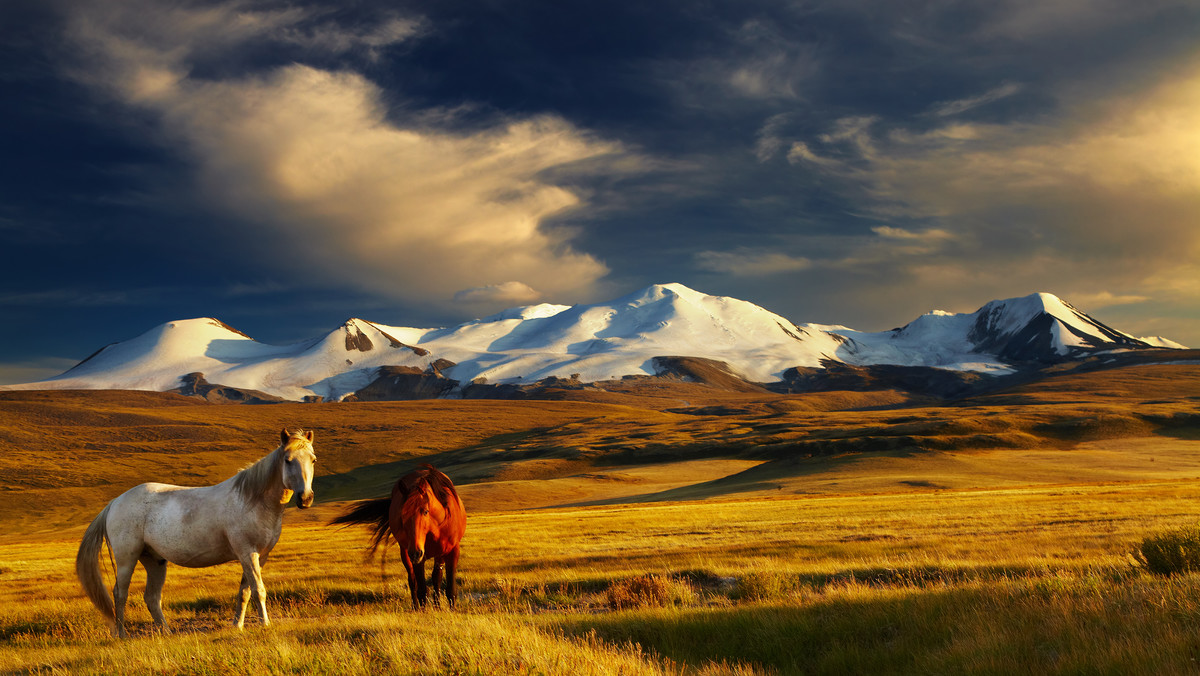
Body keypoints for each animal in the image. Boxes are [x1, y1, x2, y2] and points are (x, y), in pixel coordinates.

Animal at [73, 432, 319, 638]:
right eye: (288, 460)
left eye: (313, 459)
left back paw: (167, 632)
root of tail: (115, 502)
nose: (305, 498)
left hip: (154, 561)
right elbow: (259, 590)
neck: (252, 500)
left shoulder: (259, 556)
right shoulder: (247, 553)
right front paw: (265, 625)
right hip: (127, 559)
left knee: (152, 598)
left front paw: (237, 626)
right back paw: (122, 634)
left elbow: (245, 592)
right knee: (120, 593)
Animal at [331, 465, 465, 607]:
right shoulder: (418, 558)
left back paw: (437, 606)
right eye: (402, 515)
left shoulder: (452, 551)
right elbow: (422, 592)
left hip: (437, 554)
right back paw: (417, 607)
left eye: (425, 511)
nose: (416, 553)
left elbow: (451, 590)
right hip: (406, 553)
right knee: (413, 581)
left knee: (436, 577)